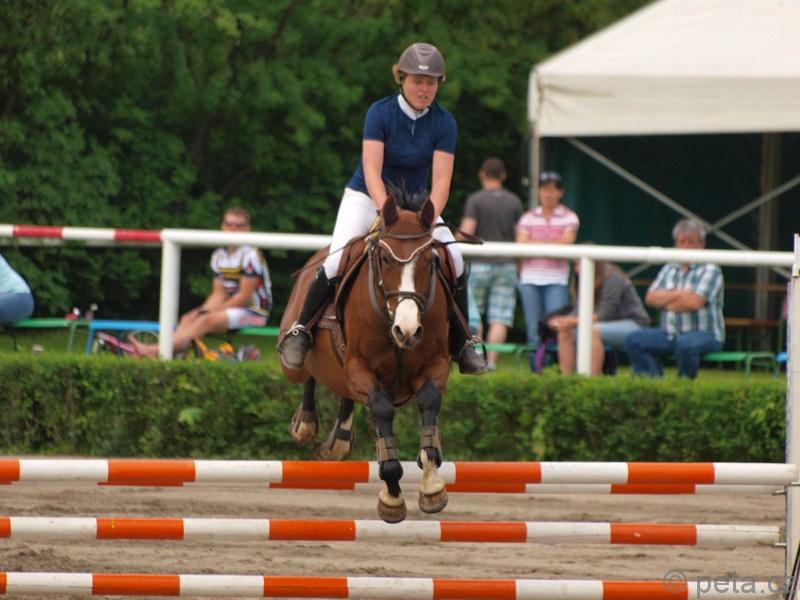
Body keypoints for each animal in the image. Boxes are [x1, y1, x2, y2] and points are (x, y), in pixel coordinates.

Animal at [279, 193, 453, 523]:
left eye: (431, 261)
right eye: (385, 259)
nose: (407, 329)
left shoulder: (436, 365)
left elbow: (428, 402)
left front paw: (432, 485)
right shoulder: (360, 367)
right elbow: (382, 410)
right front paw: (392, 495)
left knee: (345, 393)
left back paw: (338, 439)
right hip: (295, 361)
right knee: (307, 374)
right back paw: (305, 423)